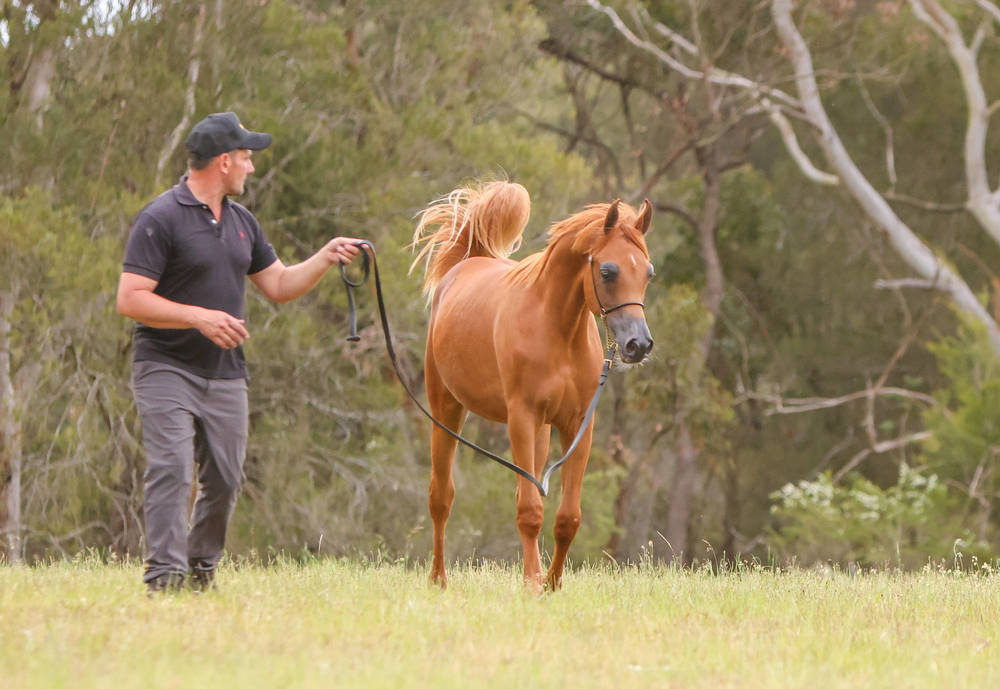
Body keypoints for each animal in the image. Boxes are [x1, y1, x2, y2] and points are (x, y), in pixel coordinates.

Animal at [410, 181, 654, 592]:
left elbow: (566, 516)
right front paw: (531, 584)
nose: (638, 345)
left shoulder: (577, 426)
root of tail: (469, 262)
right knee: (440, 497)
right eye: (607, 271)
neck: (556, 330)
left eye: (648, 272)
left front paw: (550, 584)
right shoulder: (520, 418)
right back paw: (438, 579)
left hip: (540, 431)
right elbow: (529, 511)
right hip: (448, 411)